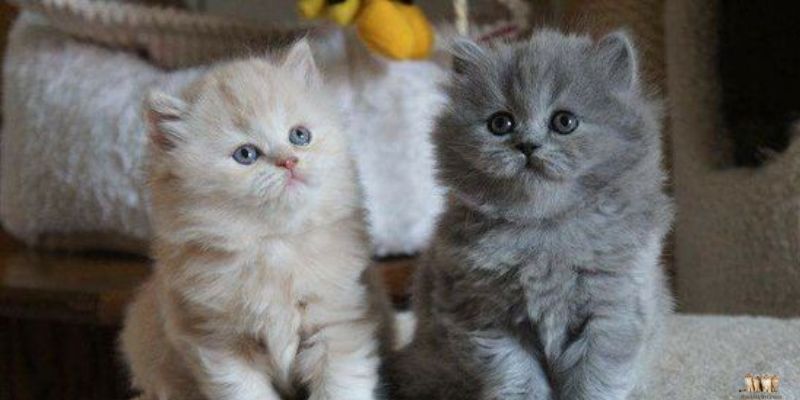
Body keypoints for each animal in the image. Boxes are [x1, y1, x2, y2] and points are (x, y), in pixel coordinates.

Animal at [120, 39, 392, 400]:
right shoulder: (218, 344)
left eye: (299, 136)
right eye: (246, 154)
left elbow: (340, 388)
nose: (289, 162)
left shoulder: (339, 325)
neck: (275, 246)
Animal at [384, 28, 672, 400]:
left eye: (564, 122)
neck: (544, 230)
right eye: (500, 123)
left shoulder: (611, 311)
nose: (527, 145)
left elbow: (594, 379)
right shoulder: (485, 316)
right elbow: (517, 376)